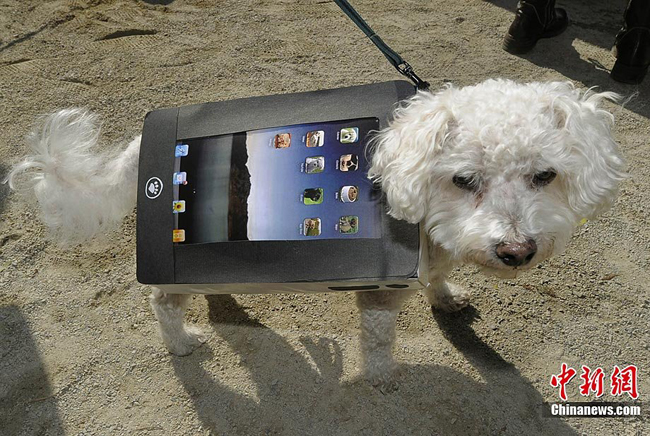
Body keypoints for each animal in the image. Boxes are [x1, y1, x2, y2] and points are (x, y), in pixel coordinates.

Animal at [3, 80, 624, 390]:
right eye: (464, 179)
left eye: (544, 175)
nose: (516, 251)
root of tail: (142, 145)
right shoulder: (380, 289)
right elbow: (379, 340)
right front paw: (382, 378)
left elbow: (438, 281)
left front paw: (446, 298)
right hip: (170, 278)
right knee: (162, 300)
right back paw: (180, 342)